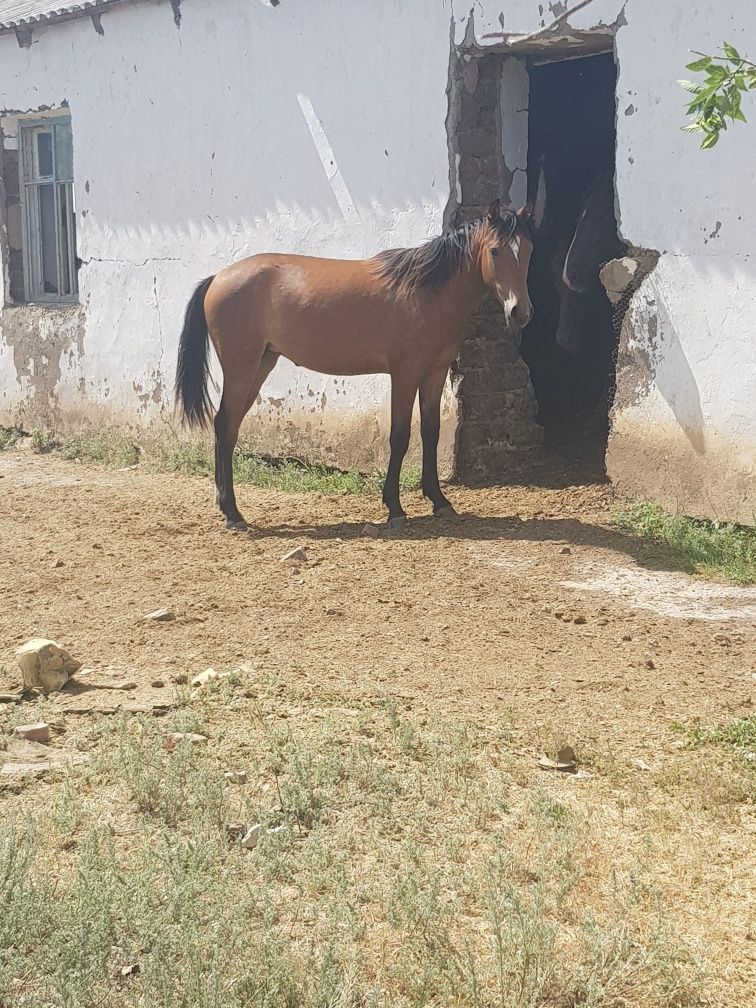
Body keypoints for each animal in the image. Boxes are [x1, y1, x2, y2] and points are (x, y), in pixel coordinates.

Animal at [174, 200, 536, 532]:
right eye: (495, 251)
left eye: (529, 249)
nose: (520, 312)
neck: (424, 292)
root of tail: (218, 278)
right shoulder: (405, 374)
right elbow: (400, 436)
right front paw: (394, 507)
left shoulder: (434, 374)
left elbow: (430, 433)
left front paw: (439, 501)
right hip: (242, 368)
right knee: (224, 424)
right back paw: (233, 514)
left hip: (261, 365)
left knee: (229, 427)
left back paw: (229, 510)